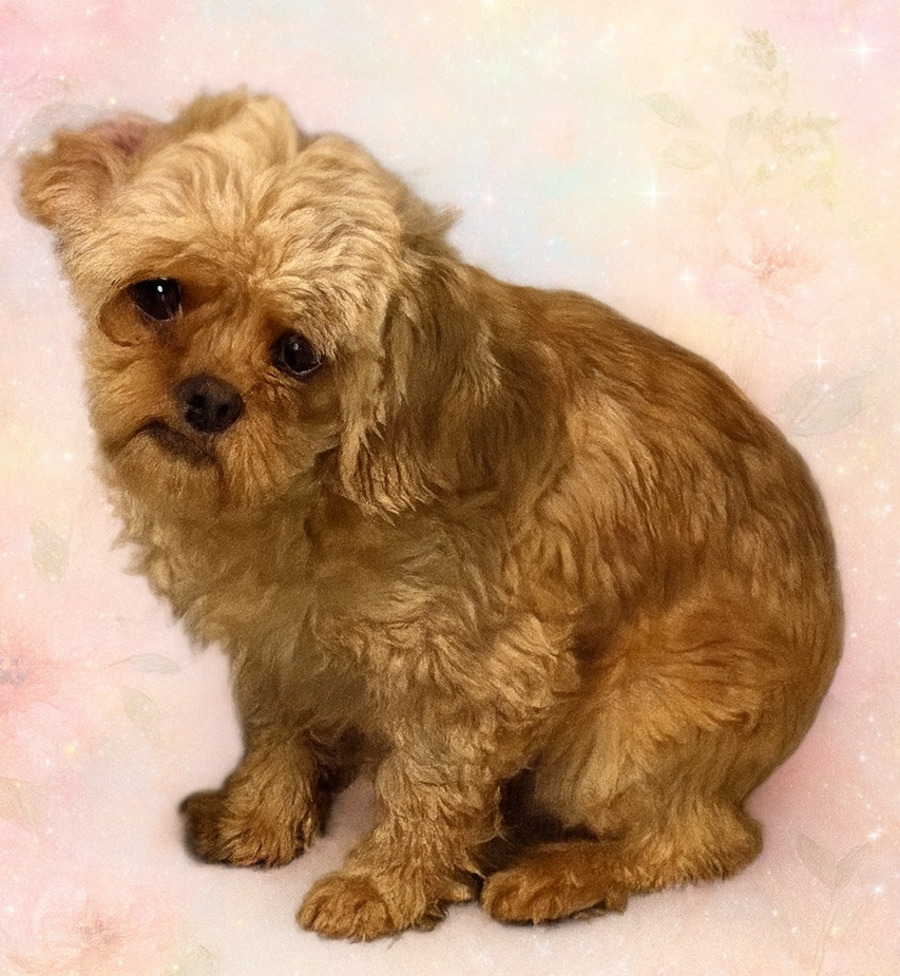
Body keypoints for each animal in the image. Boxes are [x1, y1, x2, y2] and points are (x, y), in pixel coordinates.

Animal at [20, 90, 842, 941]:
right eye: (157, 296)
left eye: (298, 353)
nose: (209, 398)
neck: (311, 499)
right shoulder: (279, 649)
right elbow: (278, 731)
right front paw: (263, 817)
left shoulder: (483, 673)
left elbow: (427, 790)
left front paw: (382, 886)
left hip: (622, 736)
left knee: (703, 839)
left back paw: (564, 874)